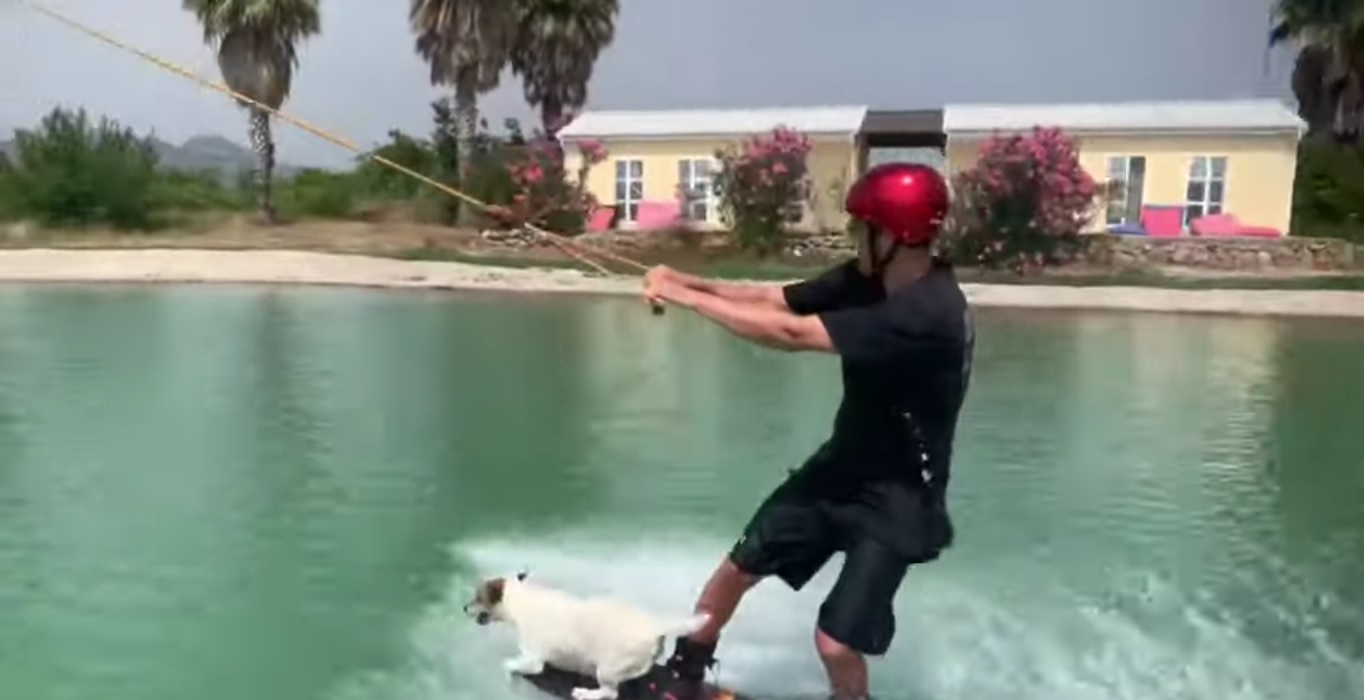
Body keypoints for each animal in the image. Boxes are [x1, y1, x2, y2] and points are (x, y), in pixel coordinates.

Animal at [461, 570, 709, 695]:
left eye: (477, 598)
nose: (463, 608)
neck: (521, 602)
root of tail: (654, 626)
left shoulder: (534, 662)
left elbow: (507, 664)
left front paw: (508, 678)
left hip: (607, 669)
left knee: (610, 693)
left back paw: (585, 693)